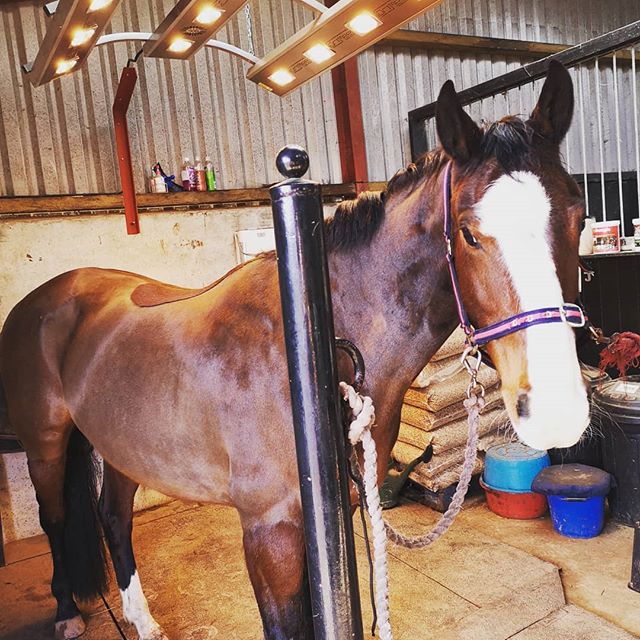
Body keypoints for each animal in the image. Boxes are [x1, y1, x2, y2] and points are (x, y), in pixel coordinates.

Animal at [1, 61, 592, 640]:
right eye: (469, 233)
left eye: (579, 217)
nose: (557, 412)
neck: (310, 346)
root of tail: (50, 295)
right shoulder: (270, 532)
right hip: (46, 446)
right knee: (56, 518)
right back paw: (67, 612)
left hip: (124, 446)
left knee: (113, 517)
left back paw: (142, 621)